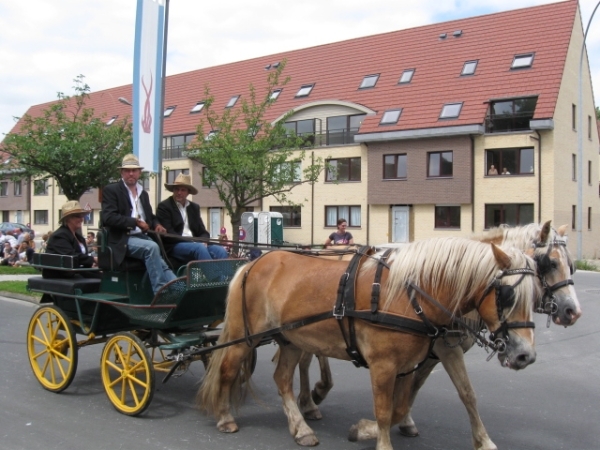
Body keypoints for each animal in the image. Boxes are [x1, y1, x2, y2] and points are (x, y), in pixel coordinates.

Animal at [198, 237, 540, 448]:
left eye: (534, 296)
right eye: (506, 295)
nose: (525, 355)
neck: (413, 294)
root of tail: (251, 264)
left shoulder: (415, 361)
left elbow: (417, 403)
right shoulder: (384, 365)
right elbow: (385, 410)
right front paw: (375, 436)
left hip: (292, 338)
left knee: (282, 378)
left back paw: (301, 427)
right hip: (245, 337)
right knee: (228, 369)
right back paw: (226, 417)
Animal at [296, 221, 580, 450]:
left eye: (571, 265)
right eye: (549, 263)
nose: (572, 311)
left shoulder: (431, 352)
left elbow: (456, 392)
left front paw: (481, 440)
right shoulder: (443, 348)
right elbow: (408, 398)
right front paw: (373, 427)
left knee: (307, 354)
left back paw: (311, 398)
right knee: (308, 356)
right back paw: (312, 398)